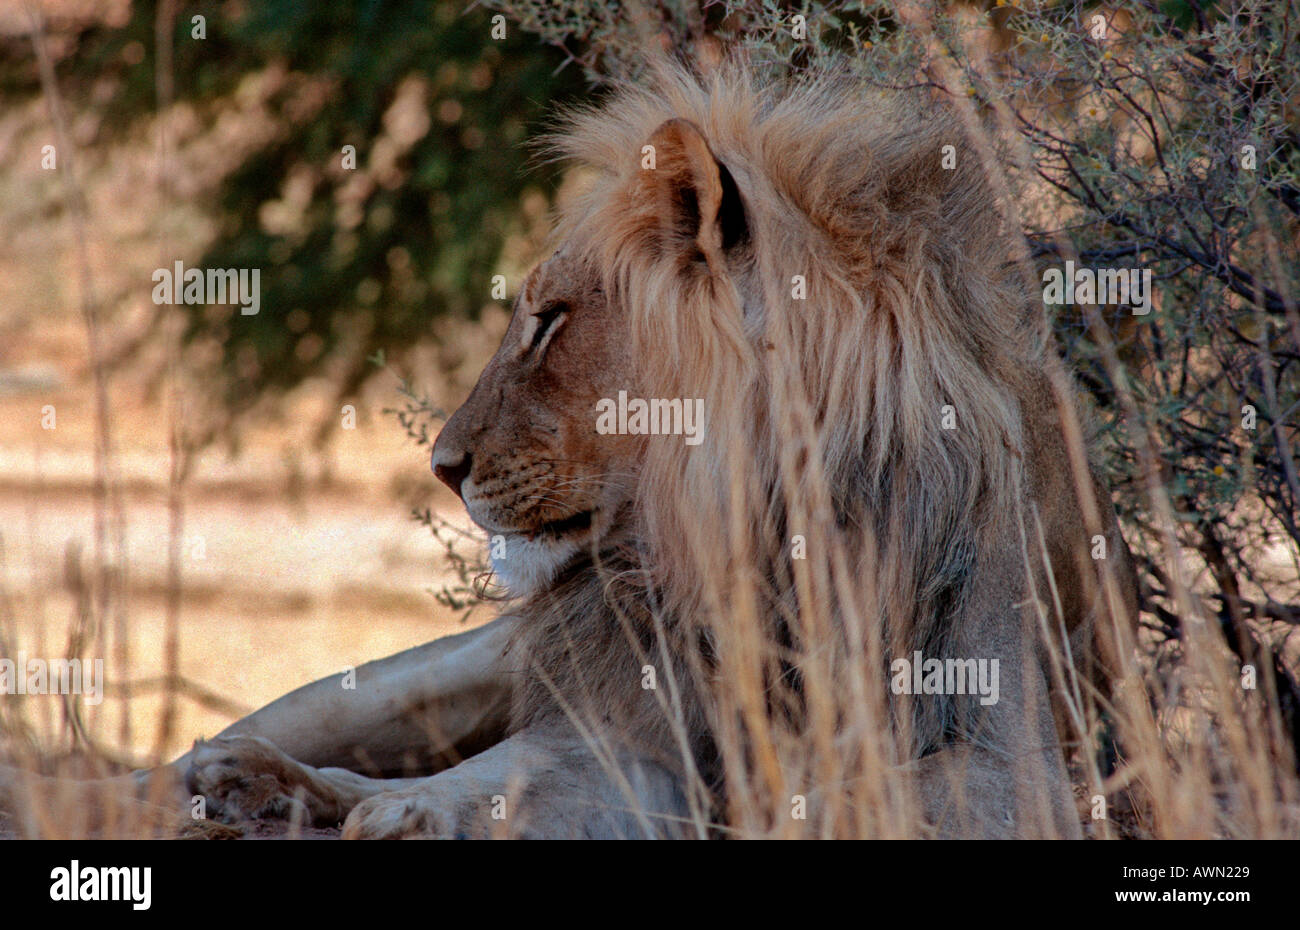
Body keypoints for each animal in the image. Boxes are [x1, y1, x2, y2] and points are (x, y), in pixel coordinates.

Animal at [2, 61, 1138, 842]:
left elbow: (851, 795)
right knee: (208, 753)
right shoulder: (620, 724)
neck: (752, 535)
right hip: (425, 670)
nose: (441, 466)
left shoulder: (1013, 761)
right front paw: (408, 814)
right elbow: (512, 775)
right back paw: (221, 784)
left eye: (549, 322)